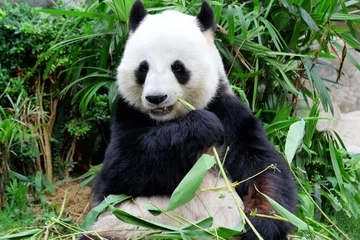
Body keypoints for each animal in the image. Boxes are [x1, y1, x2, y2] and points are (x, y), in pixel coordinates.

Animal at [81, 0, 296, 239]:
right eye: (143, 68)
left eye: (177, 67)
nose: (156, 97)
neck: (168, 120)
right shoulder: (128, 114)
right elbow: (120, 168)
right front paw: (203, 126)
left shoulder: (227, 112)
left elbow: (263, 168)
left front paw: (261, 224)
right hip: (120, 227)